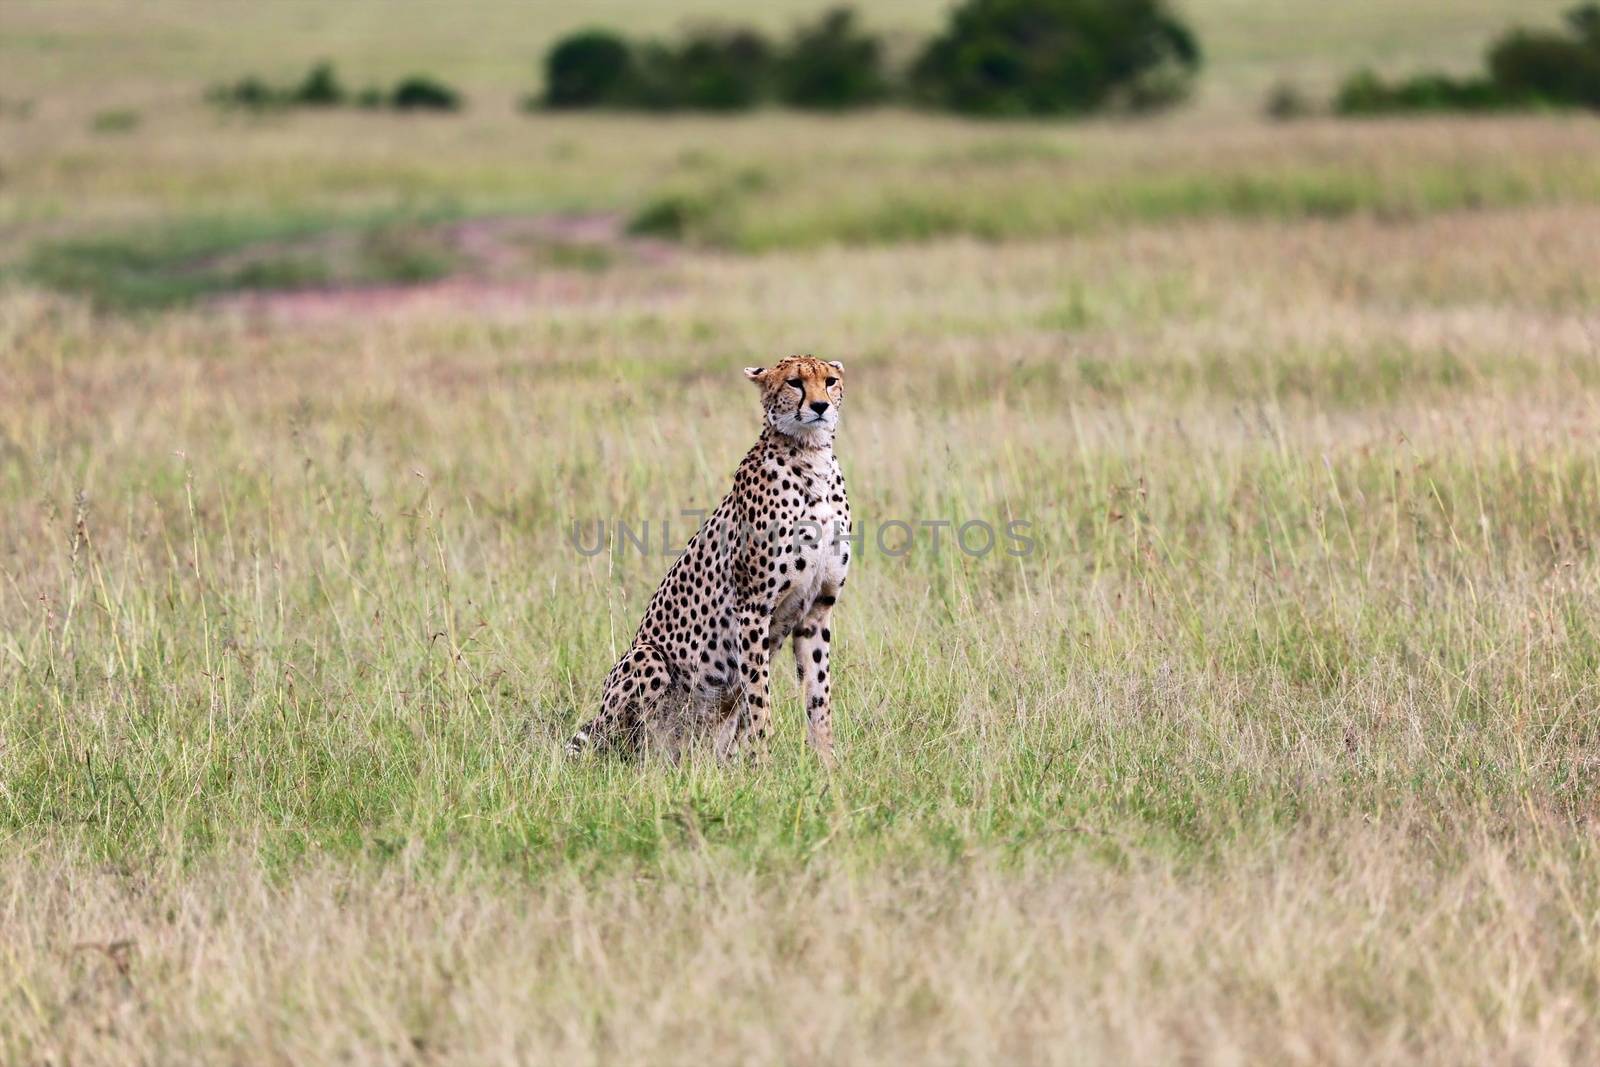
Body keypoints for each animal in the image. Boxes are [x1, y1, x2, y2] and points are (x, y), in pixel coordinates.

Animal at [572, 358, 857, 767]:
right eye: (794, 382)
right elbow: (760, 699)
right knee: (623, 748)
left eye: (830, 381)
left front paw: (828, 765)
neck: (810, 456)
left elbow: (819, 694)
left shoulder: (818, 608)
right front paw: (764, 764)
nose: (820, 406)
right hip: (647, 660)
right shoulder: (753, 608)